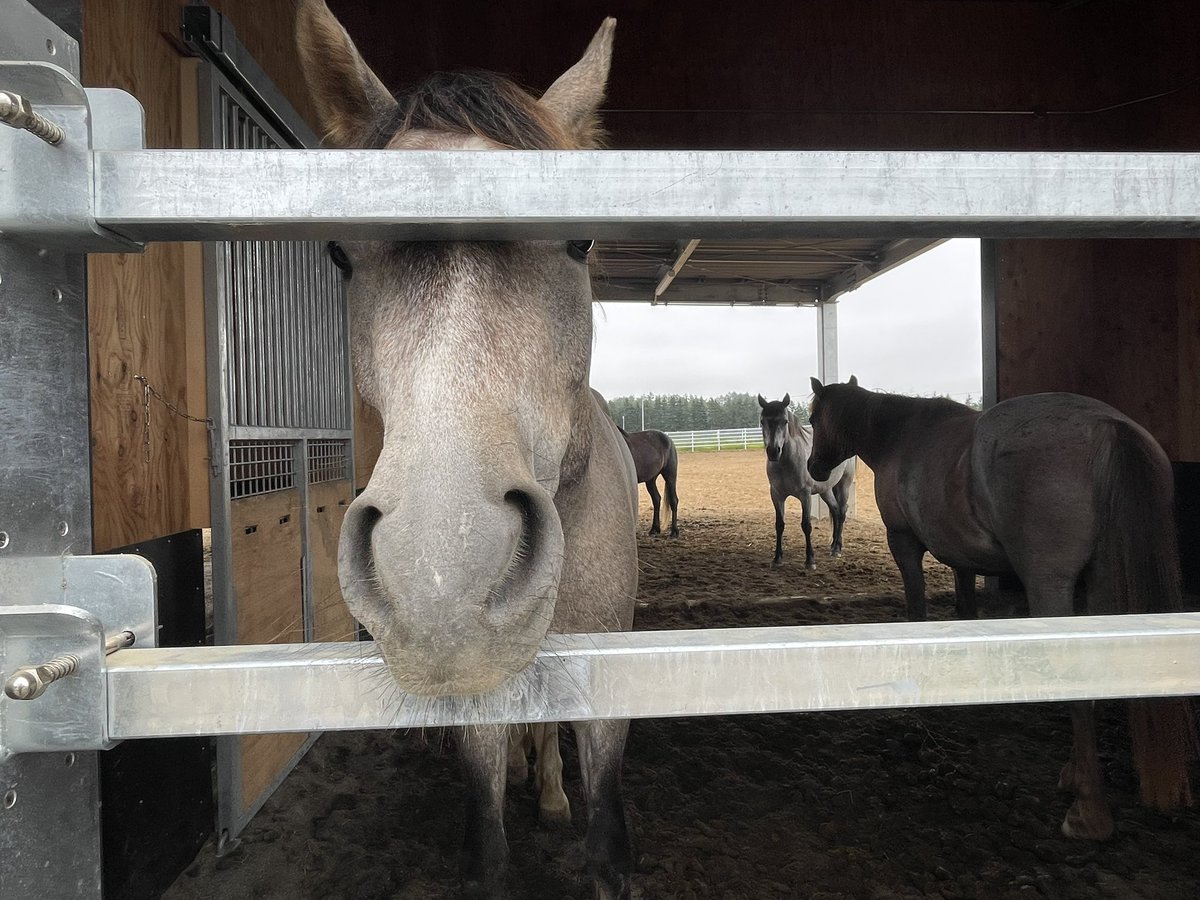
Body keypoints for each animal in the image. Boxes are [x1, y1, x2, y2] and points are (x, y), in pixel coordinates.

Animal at [296, 5, 637, 897]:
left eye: (582, 242)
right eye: (341, 254)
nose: (439, 577)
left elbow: (606, 837)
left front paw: (563, 804)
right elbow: (488, 836)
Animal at [758, 393, 856, 568]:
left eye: (785, 421)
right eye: (762, 421)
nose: (773, 451)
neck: (787, 462)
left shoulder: (805, 495)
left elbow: (806, 525)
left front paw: (810, 560)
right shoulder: (776, 495)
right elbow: (779, 524)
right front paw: (777, 558)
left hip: (844, 484)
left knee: (842, 512)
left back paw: (837, 549)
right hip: (826, 490)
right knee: (835, 511)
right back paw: (833, 545)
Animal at [806, 375, 1197, 840]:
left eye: (812, 418)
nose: (814, 468)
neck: (898, 434)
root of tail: (1106, 427)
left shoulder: (904, 544)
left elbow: (917, 612)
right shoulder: (960, 559)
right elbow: (966, 615)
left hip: (1051, 590)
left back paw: (1088, 808)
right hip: (1099, 585)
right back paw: (1076, 776)